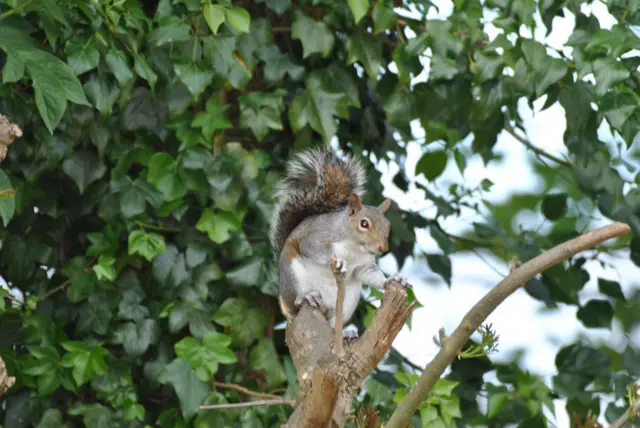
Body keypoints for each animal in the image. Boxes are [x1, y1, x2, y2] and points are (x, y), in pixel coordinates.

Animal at [268, 149, 408, 336]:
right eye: (364, 224)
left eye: (388, 225)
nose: (383, 247)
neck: (354, 248)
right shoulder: (316, 236)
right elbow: (314, 249)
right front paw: (339, 262)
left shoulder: (364, 264)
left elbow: (370, 274)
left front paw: (393, 280)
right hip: (292, 274)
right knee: (295, 304)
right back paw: (305, 296)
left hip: (348, 300)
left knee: (334, 322)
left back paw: (344, 333)